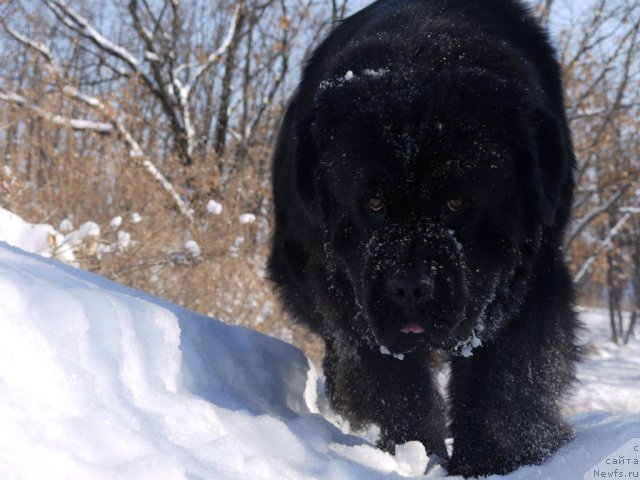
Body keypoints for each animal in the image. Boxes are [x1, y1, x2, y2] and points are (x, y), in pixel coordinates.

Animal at [268, 0, 584, 476]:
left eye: (456, 202)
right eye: (374, 204)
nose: (410, 287)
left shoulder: (532, 272)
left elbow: (506, 374)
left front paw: (494, 460)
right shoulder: (349, 293)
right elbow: (393, 381)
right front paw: (417, 452)